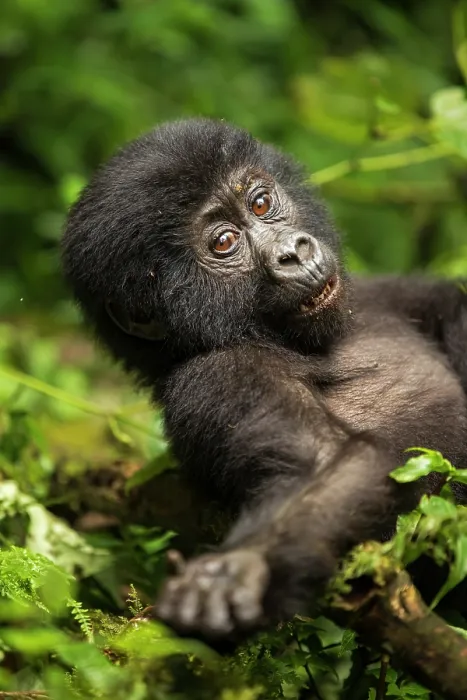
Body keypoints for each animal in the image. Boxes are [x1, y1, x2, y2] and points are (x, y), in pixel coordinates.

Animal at [62, 118, 467, 638]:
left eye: (259, 202)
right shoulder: (215, 374)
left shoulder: (383, 293)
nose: (293, 251)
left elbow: (450, 307)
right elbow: (323, 460)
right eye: (223, 243)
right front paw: (246, 569)